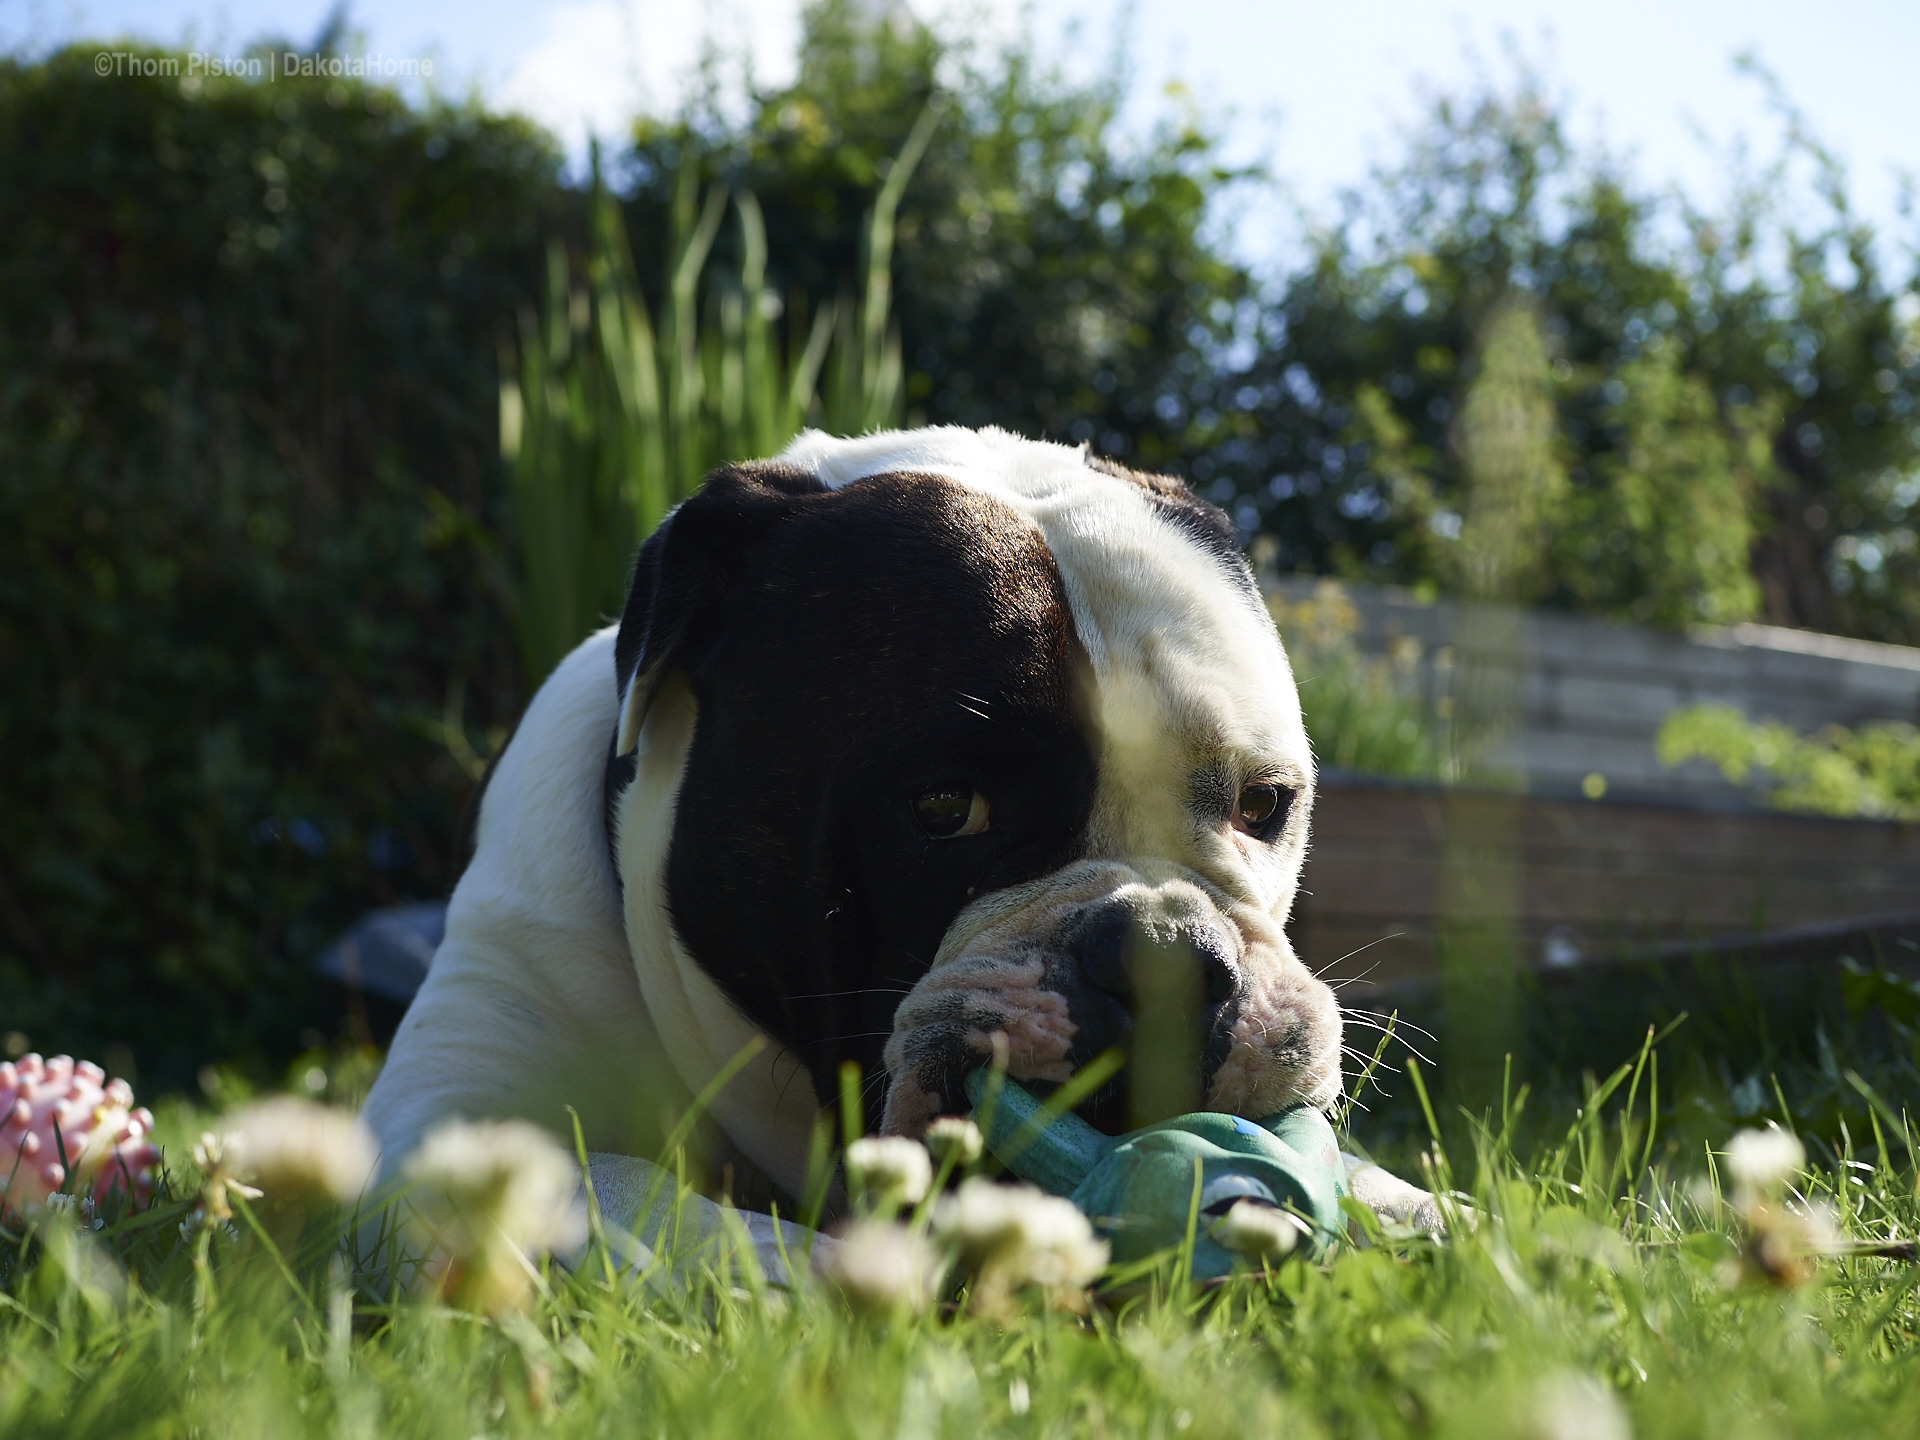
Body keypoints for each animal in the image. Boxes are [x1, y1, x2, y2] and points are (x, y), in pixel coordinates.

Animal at [362, 426, 1443, 1251]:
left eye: (1264, 805)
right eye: (944, 808)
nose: (1164, 951)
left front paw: (1425, 1214)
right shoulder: (439, 1118)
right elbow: (657, 1208)